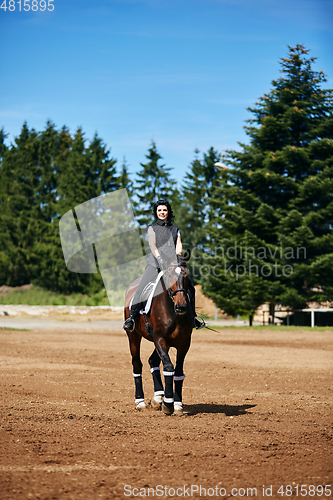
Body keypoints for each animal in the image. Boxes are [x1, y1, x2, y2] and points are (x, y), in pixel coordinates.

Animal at [124, 254, 192, 414]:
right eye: (170, 275)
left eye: (186, 275)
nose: (182, 306)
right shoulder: (160, 339)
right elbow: (168, 367)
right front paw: (168, 404)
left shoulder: (184, 343)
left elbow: (178, 371)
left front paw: (177, 404)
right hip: (134, 337)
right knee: (137, 364)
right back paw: (140, 401)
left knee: (152, 361)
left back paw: (158, 397)